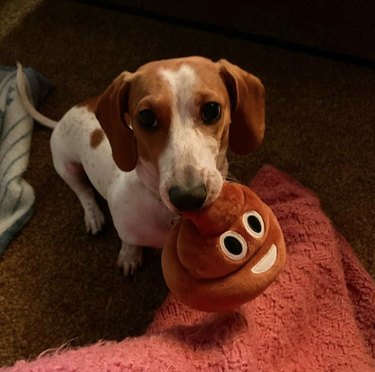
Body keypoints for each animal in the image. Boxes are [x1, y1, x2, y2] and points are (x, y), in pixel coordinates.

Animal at [16, 56, 264, 276]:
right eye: (146, 117)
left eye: (212, 109)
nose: (188, 198)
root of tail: (63, 117)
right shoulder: (124, 224)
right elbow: (128, 241)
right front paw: (130, 257)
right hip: (67, 166)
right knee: (83, 192)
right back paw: (93, 215)